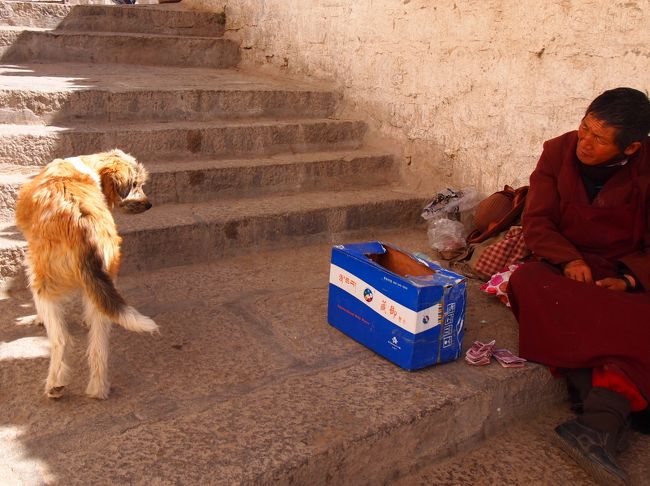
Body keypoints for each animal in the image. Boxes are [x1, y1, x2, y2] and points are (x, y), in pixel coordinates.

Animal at [14, 148, 158, 398]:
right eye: (135, 184)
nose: (148, 205)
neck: (88, 167)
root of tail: (84, 227)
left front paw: (38, 319)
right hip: (105, 280)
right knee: (99, 343)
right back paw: (98, 388)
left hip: (41, 279)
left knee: (62, 340)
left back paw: (56, 384)